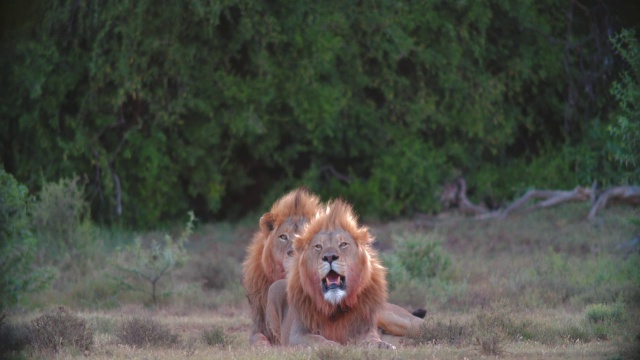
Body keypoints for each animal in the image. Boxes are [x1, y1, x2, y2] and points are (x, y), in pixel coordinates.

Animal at [264, 198, 396, 348]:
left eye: (343, 244)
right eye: (318, 246)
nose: (329, 257)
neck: (334, 306)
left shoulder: (364, 328)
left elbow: (372, 340)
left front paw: (384, 346)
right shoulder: (297, 334)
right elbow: (319, 340)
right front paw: (336, 346)